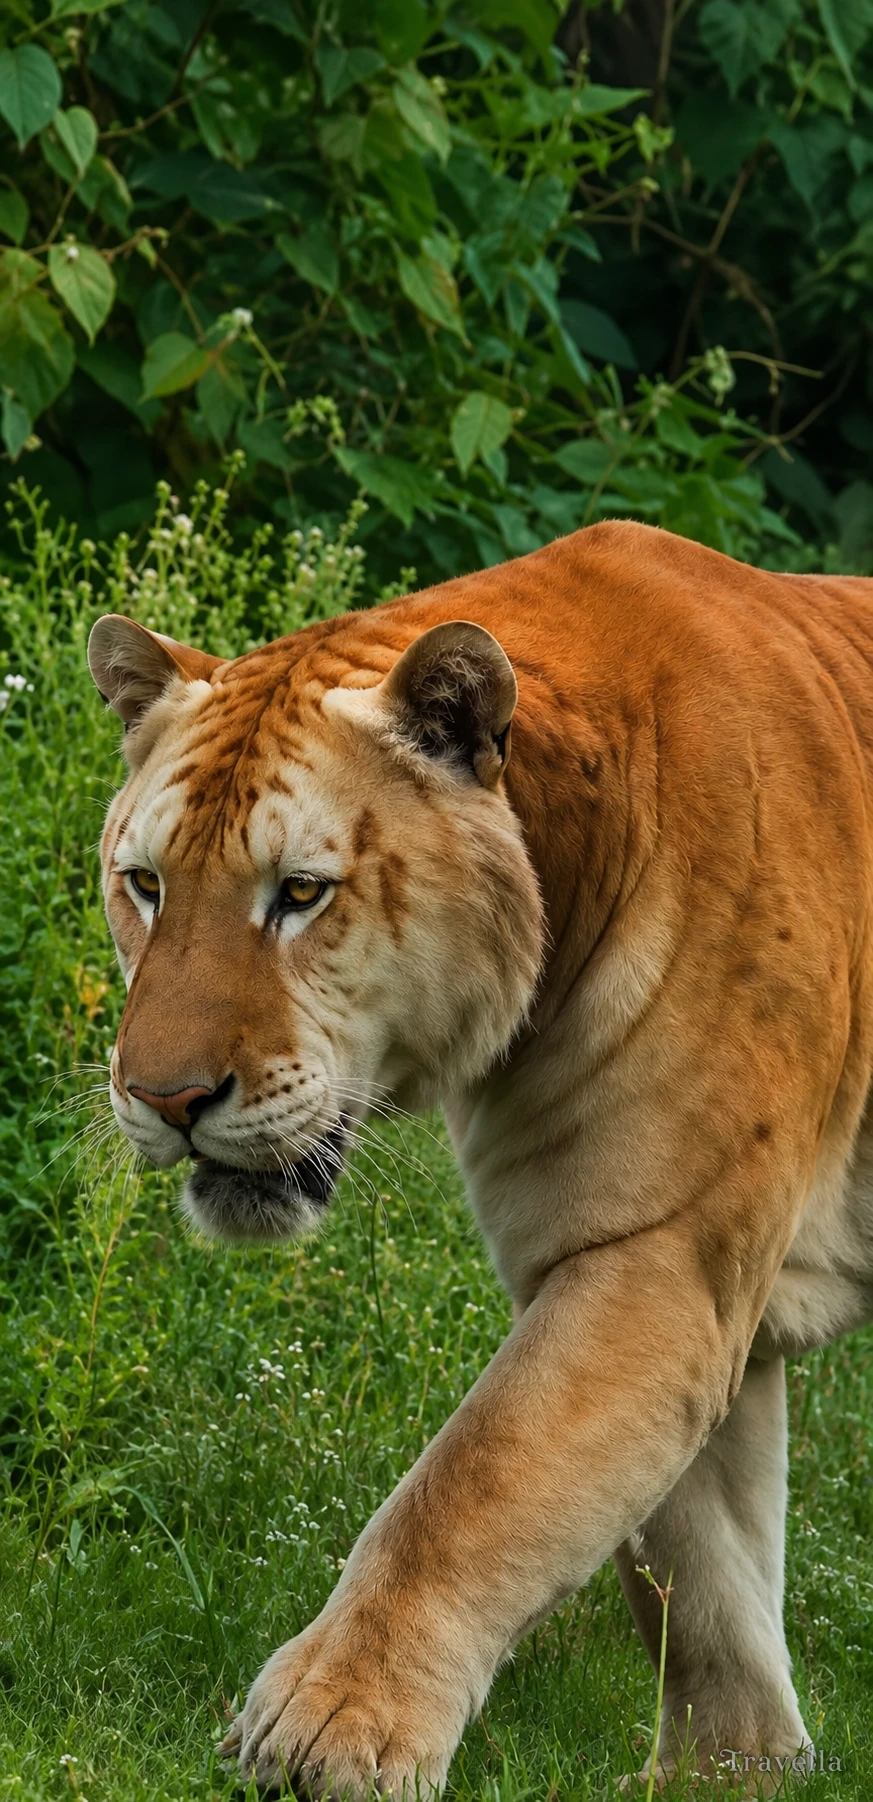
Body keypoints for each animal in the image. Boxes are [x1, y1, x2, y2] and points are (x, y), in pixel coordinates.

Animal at [87, 519, 873, 1796]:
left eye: (298, 893)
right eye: (146, 884)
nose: (164, 1097)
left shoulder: (657, 1252)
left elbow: (473, 1486)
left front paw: (328, 1729)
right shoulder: (660, 1269)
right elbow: (700, 1569)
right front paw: (737, 1765)